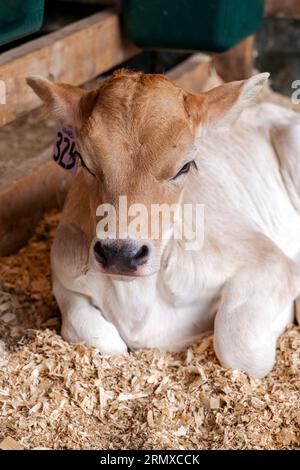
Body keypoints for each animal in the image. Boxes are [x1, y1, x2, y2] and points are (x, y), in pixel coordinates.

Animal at [27, 70, 300, 378]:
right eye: (83, 161)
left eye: (185, 166)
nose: (120, 254)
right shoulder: (63, 273)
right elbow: (98, 335)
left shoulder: (267, 259)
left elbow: (242, 349)